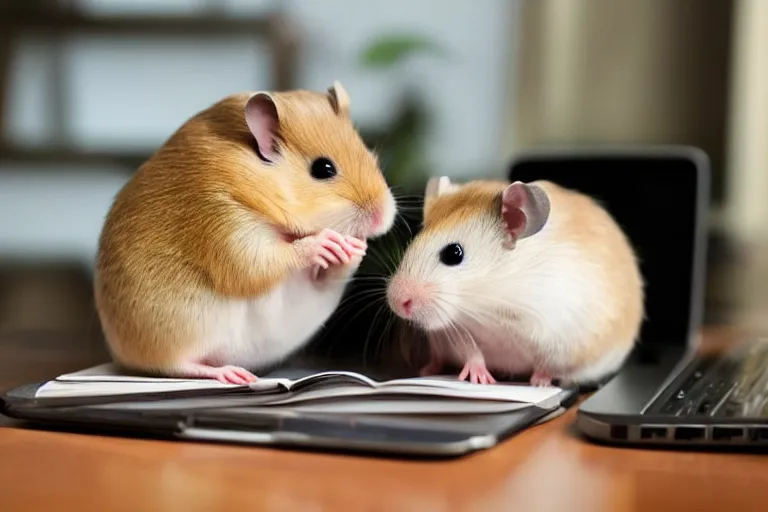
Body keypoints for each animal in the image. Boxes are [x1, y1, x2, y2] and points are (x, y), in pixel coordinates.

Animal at [94, 81, 396, 384]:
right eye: (323, 169)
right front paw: (323, 242)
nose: (385, 217)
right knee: (177, 366)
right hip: (174, 339)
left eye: (372, 156)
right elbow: (269, 259)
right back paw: (231, 374)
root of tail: (122, 355)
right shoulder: (228, 227)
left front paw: (356, 247)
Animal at [388, 178, 644, 386]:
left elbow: (548, 365)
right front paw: (480, 378)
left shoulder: (562, 336)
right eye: (413, 241)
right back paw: (428, 369)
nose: (396, 303)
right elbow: (472, 352)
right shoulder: (456, 330)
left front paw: (539, 383)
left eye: (453, 253)